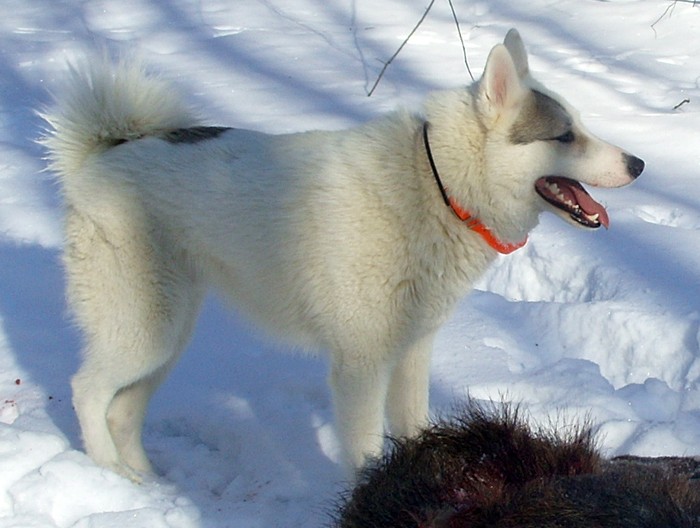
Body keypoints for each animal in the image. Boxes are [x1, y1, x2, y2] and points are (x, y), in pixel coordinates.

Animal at [42, 29, 644, 480]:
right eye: (565, 136)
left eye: (581, 127)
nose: (638, 164)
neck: (436, 186)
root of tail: (104, 151)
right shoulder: (361, 365)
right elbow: (365, 451)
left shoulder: (411, 353)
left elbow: (412, 431)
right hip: (143, 329)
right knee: (86, 392)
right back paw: (108, 475)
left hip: (166, 336)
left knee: (123, 411)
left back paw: (145, 481)